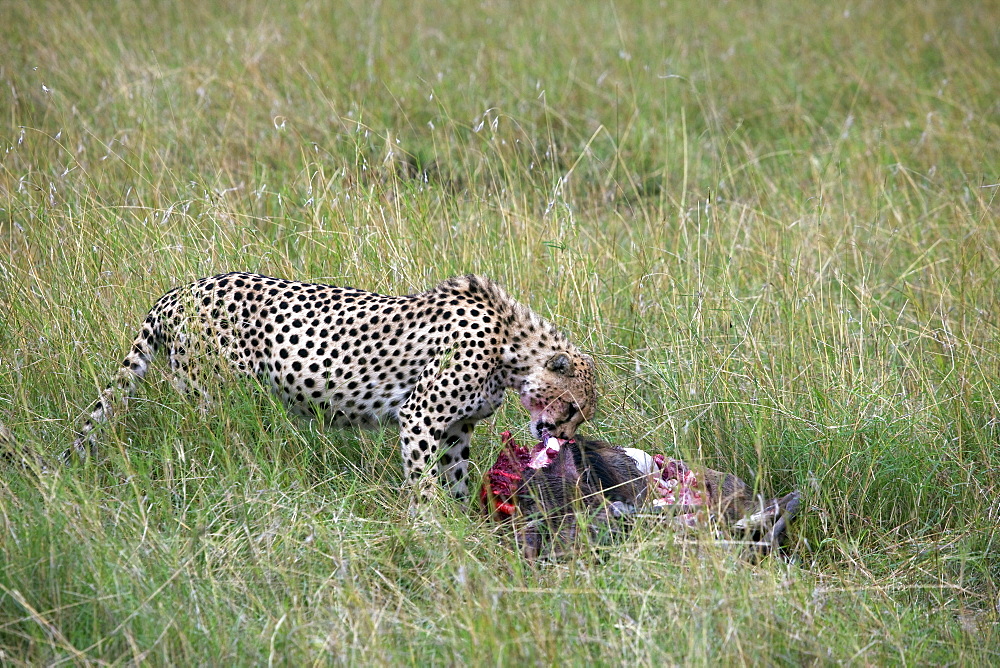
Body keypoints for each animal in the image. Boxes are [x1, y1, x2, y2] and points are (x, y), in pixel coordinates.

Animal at [76, 270, 600, 496]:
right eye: (574, 409)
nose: (565, 438)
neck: (511, 348)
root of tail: (177, 289)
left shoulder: (455, 428)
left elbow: (455, 478)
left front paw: (464, 524)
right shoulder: (420, 417)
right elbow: (423, 483)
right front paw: (431, 529)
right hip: (219, 398)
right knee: (208, 445)